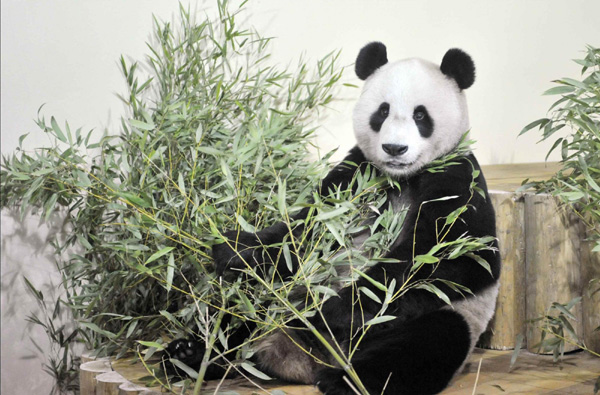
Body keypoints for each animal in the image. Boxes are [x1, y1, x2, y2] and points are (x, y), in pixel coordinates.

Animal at [166, 41, 500, 394]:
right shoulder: (356, 175)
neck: (402, 178)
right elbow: (304, 230)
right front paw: (236, 248)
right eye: (382, 112)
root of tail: (305, 362)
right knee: (240, 312)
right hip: (274, 296)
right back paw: (190, 355)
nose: (394, 148)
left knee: (421, 346)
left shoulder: (457, 179)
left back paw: (343, 379)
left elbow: (452, 257)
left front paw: (332, 310)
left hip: (436, 318)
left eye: (420, 115)